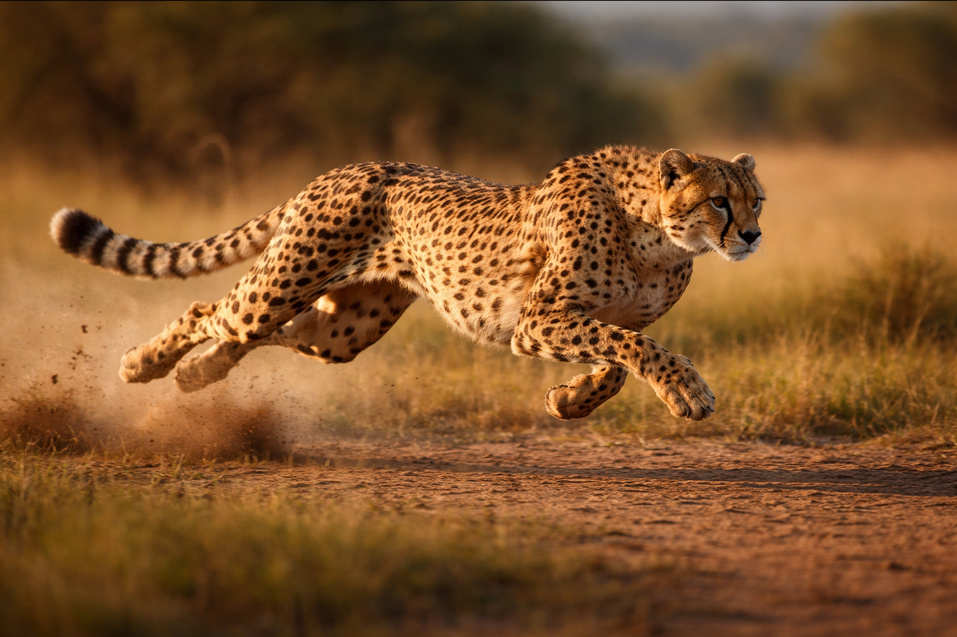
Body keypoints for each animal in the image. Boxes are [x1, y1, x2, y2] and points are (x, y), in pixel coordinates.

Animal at [50, 145, 765, 421]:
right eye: (720, 202)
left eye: (756, 200)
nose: (753, 236)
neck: (656, 235)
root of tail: (341, 168)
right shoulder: (538, 320)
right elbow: (639, 350)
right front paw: (688, 392)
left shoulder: (592, 320)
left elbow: (619, 358)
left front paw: (571, 400)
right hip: (285, 284)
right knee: (213, 309)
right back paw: (141, 364)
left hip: (344, 329)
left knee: (268, 332)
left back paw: (197, 376)